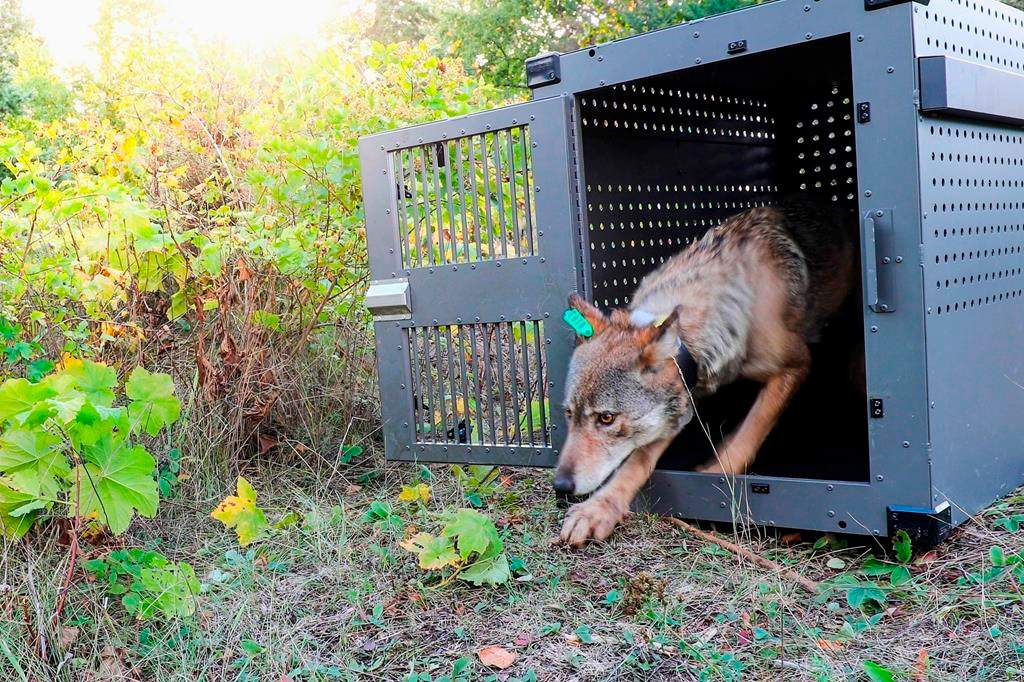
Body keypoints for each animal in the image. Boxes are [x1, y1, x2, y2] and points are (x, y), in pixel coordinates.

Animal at [555, 197, 855, 546]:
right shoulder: (681, 400)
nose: (560, 486)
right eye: (569, 414)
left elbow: (751, 431)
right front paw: (598, 509)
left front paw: (715, 475)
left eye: (606, 418)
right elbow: (637, 461)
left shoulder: (796, 364)